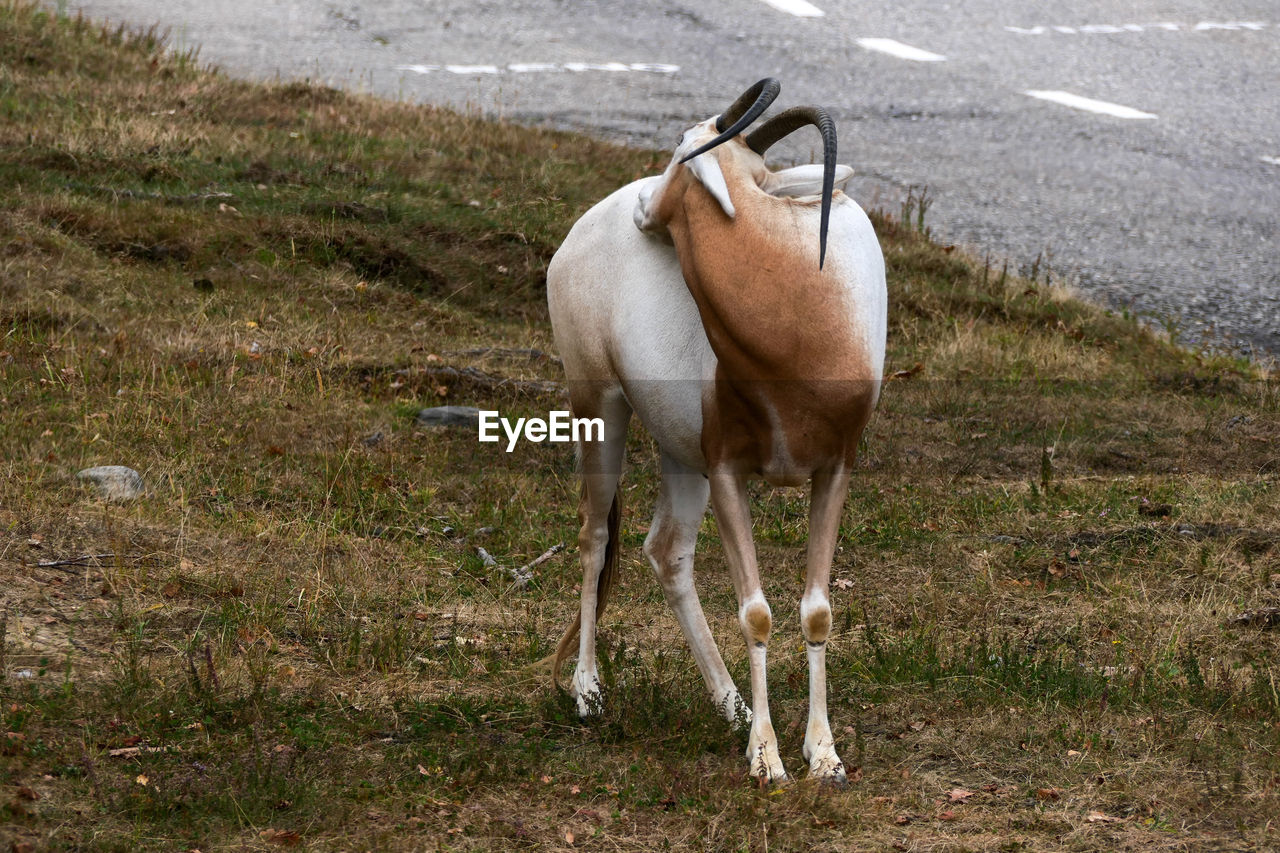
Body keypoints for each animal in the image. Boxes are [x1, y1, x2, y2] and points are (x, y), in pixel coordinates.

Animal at [545, 79, 885, 783]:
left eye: (681, 146)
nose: (644, 206)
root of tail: (583, 228)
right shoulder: (729, 469)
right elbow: (756, 612)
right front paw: (768, 760)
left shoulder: (834, 468)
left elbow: (817, 610)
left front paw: (824, 756)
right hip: (599, 405)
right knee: (595, 534)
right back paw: (588, 691)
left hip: (682, 452)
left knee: (666, 549)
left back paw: (730, 705)